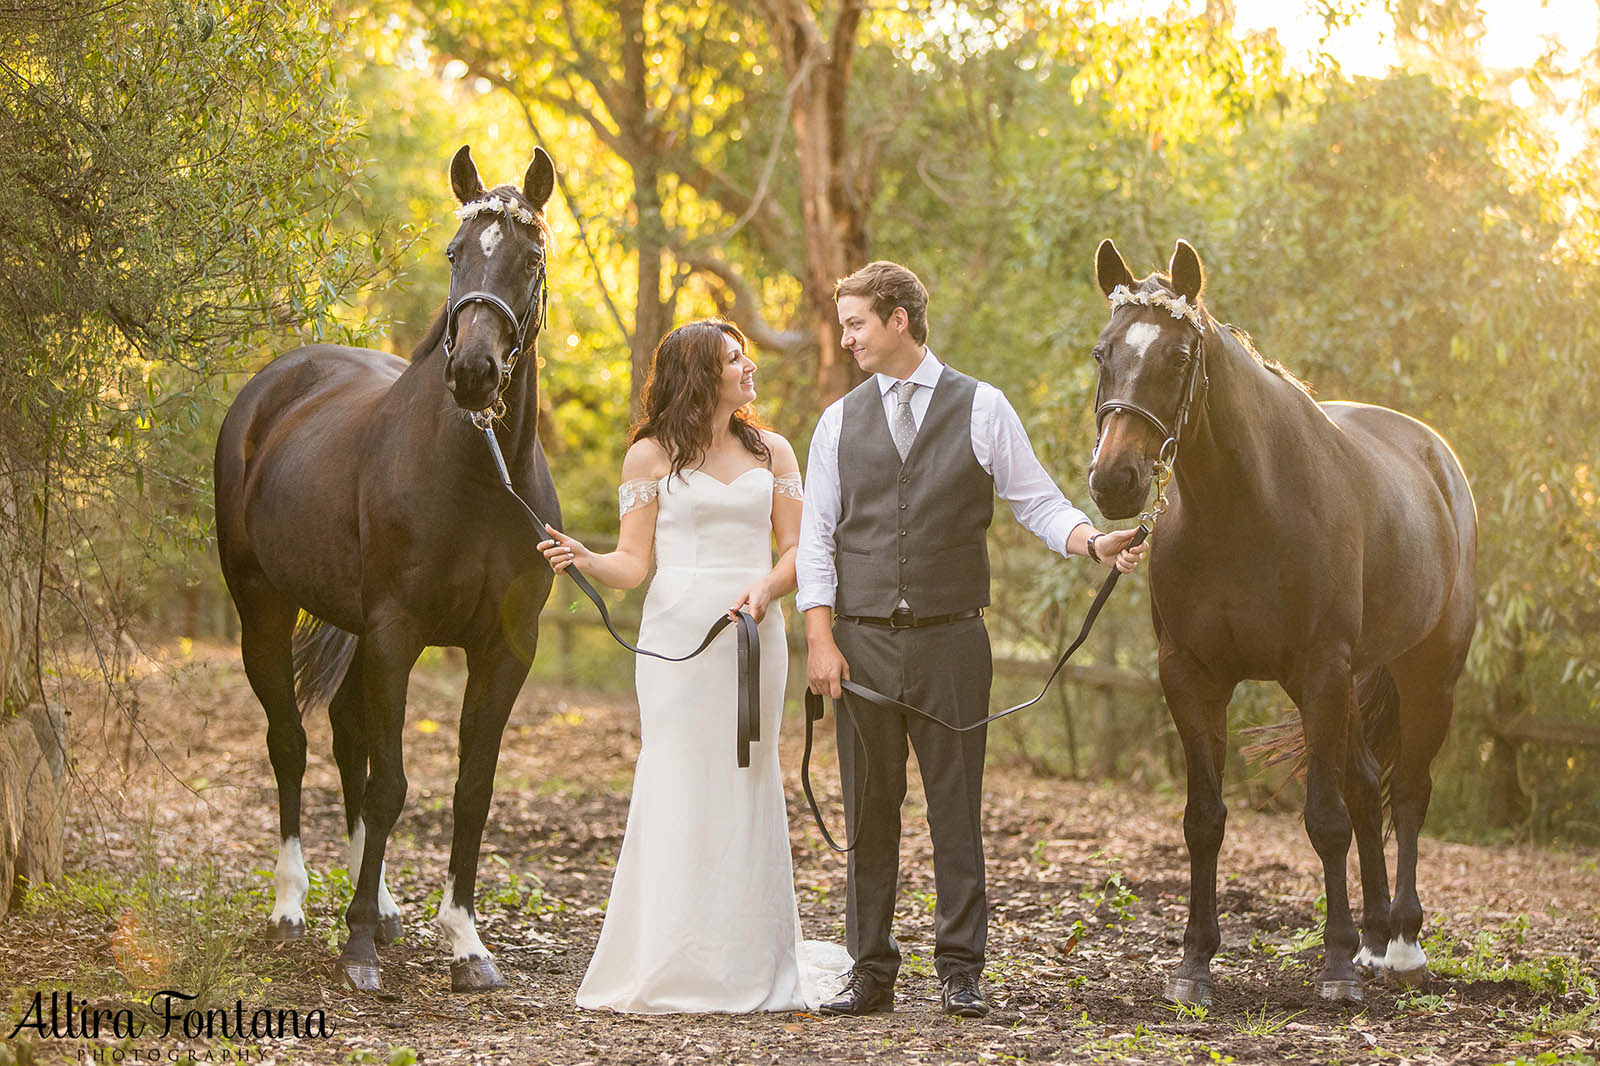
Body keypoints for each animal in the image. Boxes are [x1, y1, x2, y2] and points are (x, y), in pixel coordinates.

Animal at [212, 145, 563, 992]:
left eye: (531, 258)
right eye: (455, 253)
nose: (472, 373)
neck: (480, 476)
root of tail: (276, 384)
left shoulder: (505, 649)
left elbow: (469, 789)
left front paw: (463, 942)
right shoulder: (396, 634)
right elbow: (391, 784)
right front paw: (360, 947)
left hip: (351, 631)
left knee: (345, 738)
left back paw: (378, 904)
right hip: (262, 611)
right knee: (292, 744)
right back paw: (293, 907)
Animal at [1088, 236, 1472, 998]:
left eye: (1179, 357)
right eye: (1103, 352)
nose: (1116, 480)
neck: (1245, 507)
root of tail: (1435, 457)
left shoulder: (1320, 670)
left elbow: (1324, 820)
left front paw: (1335, 967)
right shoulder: (1191, 675)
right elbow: (1204, 821)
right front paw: (1194, 963)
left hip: (1426, 675)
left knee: (1408, 792)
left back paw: (1402, 944)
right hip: (1354, 682)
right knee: (1366, 786)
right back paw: (1375, 938)